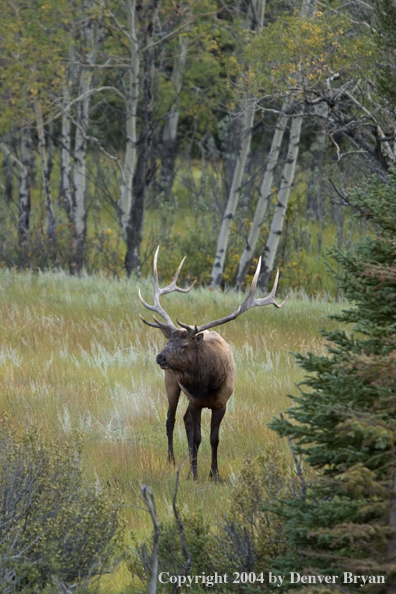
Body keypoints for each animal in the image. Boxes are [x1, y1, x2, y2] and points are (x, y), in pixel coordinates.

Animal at [138, 246, 286, 480]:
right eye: (169, 341)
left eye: (185, 345)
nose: (160, 357)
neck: (208, 384)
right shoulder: (196, 401)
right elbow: (197, 438)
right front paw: (194, 474)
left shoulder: (222, 403)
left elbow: (214, 439)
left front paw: (214, 474)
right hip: (171, 383)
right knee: (171, 418)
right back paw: (171, 460)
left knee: (184, 419)